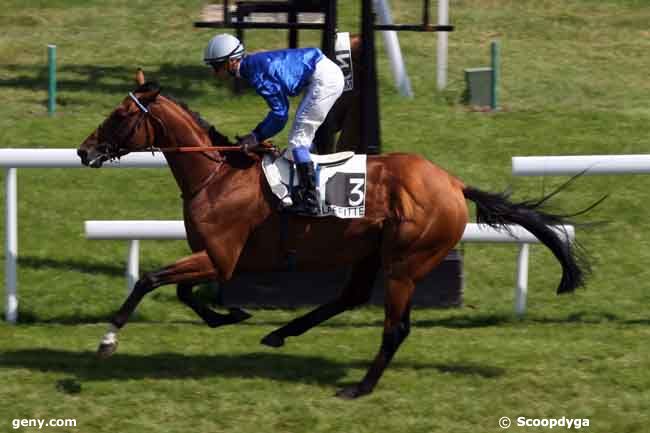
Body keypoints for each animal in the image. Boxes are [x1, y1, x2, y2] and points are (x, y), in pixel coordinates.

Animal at [78, 75, 584, 398]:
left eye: (119, 115)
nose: (84, 151)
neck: (217, 175)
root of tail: (454, 184)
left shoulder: (221, 256)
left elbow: (150, 280)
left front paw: (107, 341)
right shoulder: (214, 256)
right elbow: (182, 292)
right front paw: (231, 314)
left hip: (406, 261)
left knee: (395, 327)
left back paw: (360, 387)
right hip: (372, 251)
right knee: (351, 296)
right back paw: (281, 333)